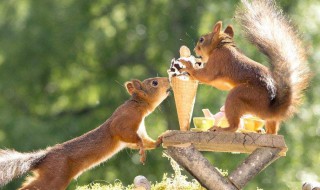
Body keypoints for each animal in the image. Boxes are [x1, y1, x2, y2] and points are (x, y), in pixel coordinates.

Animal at [0, 77, 171, 190]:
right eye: (154, 83)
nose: (168, 80)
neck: (138, 106)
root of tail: (44, 156)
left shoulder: (138, 131)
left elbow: (141, 141)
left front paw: (159, 140)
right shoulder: (122, 121)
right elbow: (128, 136)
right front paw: (142, 153)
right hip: (55, 177)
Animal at [181, 0, 312, 134]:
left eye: (201, 40)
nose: (195, 49)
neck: (221, 46)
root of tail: (270, 110)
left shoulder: (218, 60)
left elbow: (207, 75)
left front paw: (188, 66)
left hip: (241, 95)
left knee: (235, 125)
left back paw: (222, 128)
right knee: (272, 130)